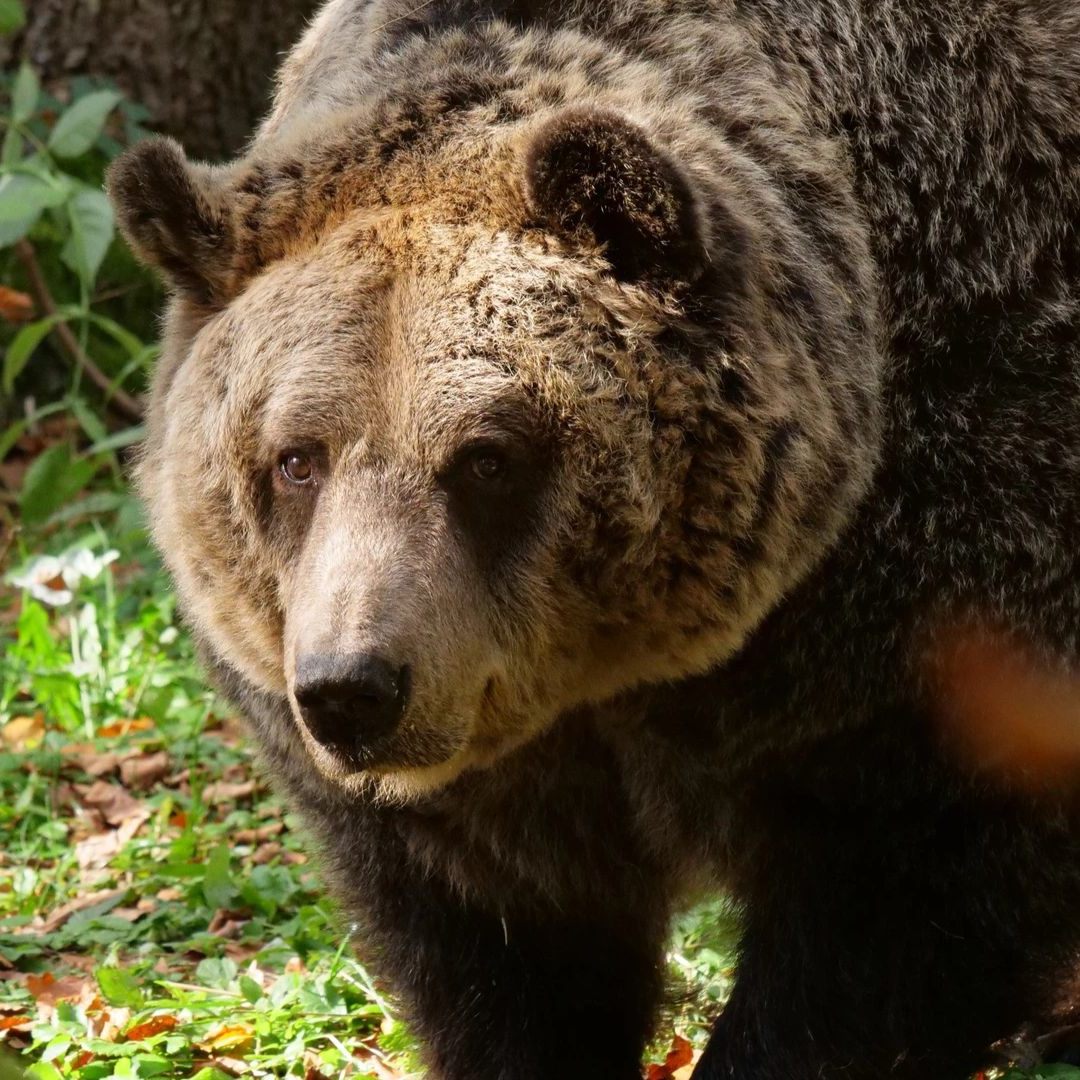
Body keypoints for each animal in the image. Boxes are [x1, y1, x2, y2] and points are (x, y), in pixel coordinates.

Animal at [106, 0, 1080, 1076]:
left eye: (487, 458)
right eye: (294, 459)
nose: (352, 689)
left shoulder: (933, 592)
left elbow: (898, 915)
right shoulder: (478, 800)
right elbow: (511, 951)